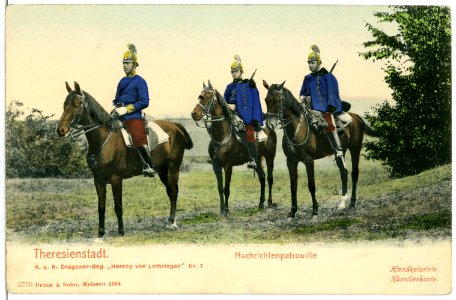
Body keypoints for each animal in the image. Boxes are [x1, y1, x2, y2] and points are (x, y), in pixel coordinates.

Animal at [56, 82, 193, 237]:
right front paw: (101, 232)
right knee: (170, 191)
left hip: (173, 167)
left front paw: (121, 231)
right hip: (162, 170)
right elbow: (101, 206)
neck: (104, 140)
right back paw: (170, 221)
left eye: (77, 104)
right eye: (64, 104)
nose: (60, 130)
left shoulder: (116, 179)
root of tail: (175, 125)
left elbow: (118, 206)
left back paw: (173, 223)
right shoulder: (98, 179)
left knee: (174, 191)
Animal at [190, 81, 276, 214]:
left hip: (269, 157)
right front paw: (221, 209)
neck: (221, 135)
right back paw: (261, 203)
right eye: (200, 96)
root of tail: (269, 128)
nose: (194, 114)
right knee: (262, 178)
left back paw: (270, 203)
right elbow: (220, 188)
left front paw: (226, 209)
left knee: (269, 178)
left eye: (208, 96)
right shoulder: (216, 166)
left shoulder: (228, 166)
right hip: (257, 160)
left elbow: (226, 188)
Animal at [262, 80, 376, 218]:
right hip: (340, 152)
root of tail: (356, 117)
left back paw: (352, 203)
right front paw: (292, 211)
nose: (270, 125)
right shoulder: (291, 161)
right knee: (344, 173)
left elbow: (311, 185)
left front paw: (315, 210)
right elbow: (293, 186)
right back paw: (342, 203)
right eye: (266, 100)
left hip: (355, 149)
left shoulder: (308, 160)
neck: (296, 129)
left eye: (278, 100)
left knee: (354, 174)